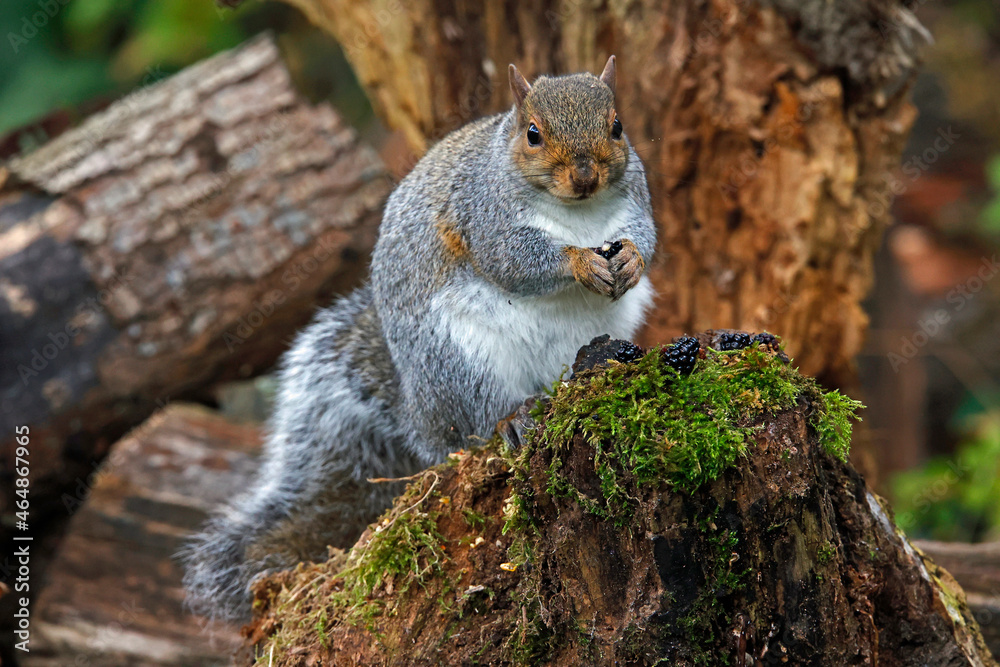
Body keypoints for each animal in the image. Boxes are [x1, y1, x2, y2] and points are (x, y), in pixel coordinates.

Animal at [182, 56, 656, 621]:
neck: (580, 215)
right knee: (469, 429)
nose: (586, 176)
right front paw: (579, 262)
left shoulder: (637, 199)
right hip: (459, 362)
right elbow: (517, 262)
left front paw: (631, 260)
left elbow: (648, 237)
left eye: (618, 126)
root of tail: (416, 412)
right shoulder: (484, 216)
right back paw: (512, 418)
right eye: (533, 134)